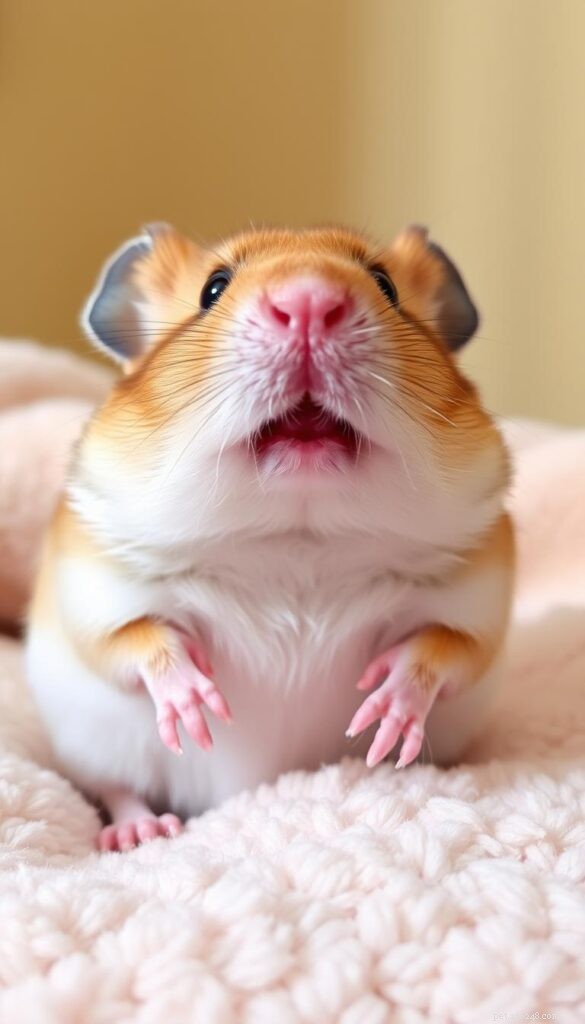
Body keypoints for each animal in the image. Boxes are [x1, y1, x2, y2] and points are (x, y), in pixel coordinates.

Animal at [26, 223, 513, 851]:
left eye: (385, 285)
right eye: (212, 289)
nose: (308, 302)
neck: (294, 537)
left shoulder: (478, 607)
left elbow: (440, 650)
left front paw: (383, 714)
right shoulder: (96, 593)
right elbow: (140, 641)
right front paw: (200, 704)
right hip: (93, 745)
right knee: (116, 788)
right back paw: (142, 832)